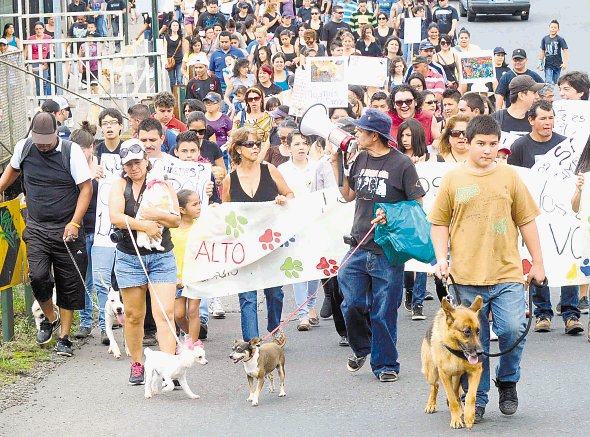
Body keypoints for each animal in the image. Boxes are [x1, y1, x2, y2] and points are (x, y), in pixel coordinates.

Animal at [420, 294, 486, 428]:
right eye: (467, 332)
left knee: (455, 390)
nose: (481, 352)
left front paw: (469, 416)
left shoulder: (476, 371)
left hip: (456, 376)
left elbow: (471, 396)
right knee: (435, 385)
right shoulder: (444, 375)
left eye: (478, 331)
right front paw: (456, 419)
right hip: (432, 373)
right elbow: (451, 399)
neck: (456, 350)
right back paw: (431, 404)